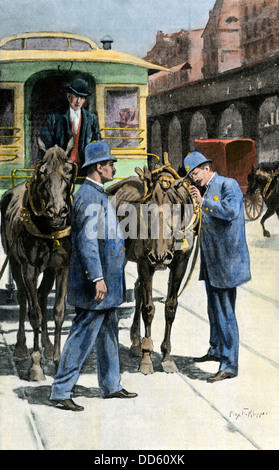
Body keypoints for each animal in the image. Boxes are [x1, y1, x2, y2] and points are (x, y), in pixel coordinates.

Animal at [0, 138, 77, 380]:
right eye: (42, 171)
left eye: (69, 170)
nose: (57, 213)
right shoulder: (29, 268)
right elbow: (34, 313)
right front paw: (35, 365)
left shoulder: (62, 267)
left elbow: (58, 312)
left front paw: (57, 358)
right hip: (15, 263)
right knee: (24, 298)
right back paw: (21, 347)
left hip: (49, 269)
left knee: (42, 296)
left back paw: (47, 344)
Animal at [107, 157, 201, 374]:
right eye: (147, 211)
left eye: (176, 209)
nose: (160, 257)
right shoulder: (144, 262)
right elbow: (148, 309)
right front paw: (147, 358)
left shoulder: (180, 265)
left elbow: (170, 307)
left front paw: (166, 356)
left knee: (138, 289)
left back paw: (135, 343)